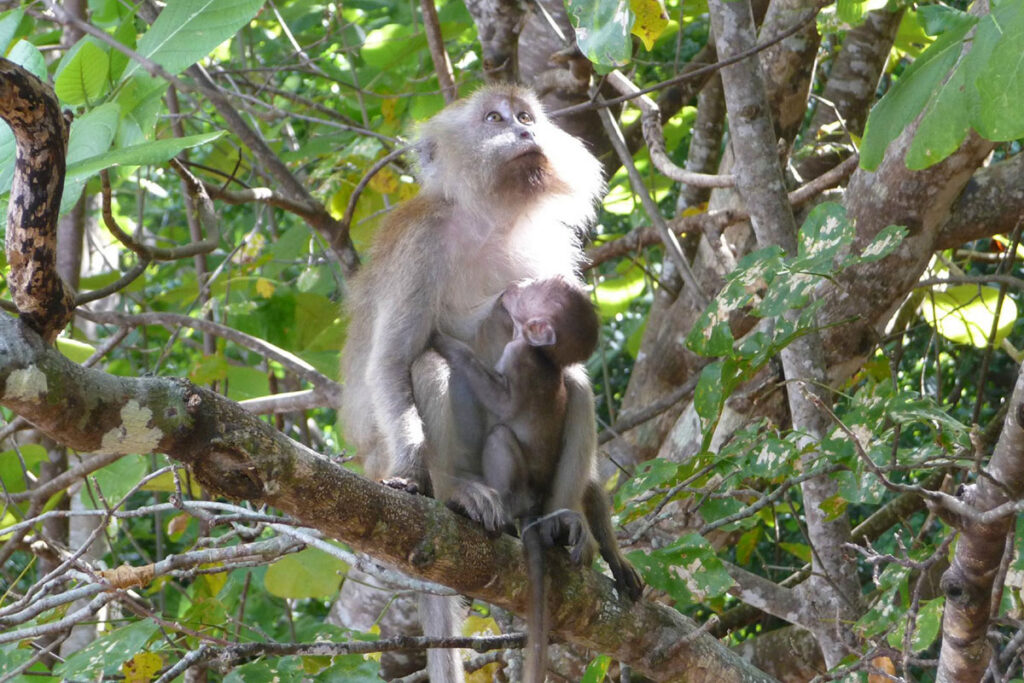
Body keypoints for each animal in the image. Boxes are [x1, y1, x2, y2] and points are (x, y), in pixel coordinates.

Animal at [340, 84, 606, 683]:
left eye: (526, 116)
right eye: (493, 120)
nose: (525, 131)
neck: (490, 221)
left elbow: (563, 357)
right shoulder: (423, 241)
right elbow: (392, 361)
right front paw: (412, 473)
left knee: (574, 384)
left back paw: (562, 519)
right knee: (425, 367)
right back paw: (456, 493)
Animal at [430, 276, 643, 683]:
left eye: (529, 295)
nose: (513, 287)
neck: (543, 357)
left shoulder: (516, 354)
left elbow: (501, 402)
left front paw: (447, 346)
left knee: (502, 434)